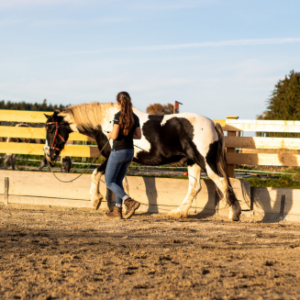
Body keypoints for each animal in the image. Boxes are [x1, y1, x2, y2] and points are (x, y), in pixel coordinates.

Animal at [44, 102, 241, 221]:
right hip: (192, 163)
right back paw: (179, 212)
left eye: (51, 130)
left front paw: (96, 200)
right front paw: (122, 207)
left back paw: (234, 214)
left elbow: (101, 176)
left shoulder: (113, 156)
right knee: (195, 187)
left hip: (205, 161)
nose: (48, 154)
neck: (107, 122)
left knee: (221, 182)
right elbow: (116, 180)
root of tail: (213, 123)